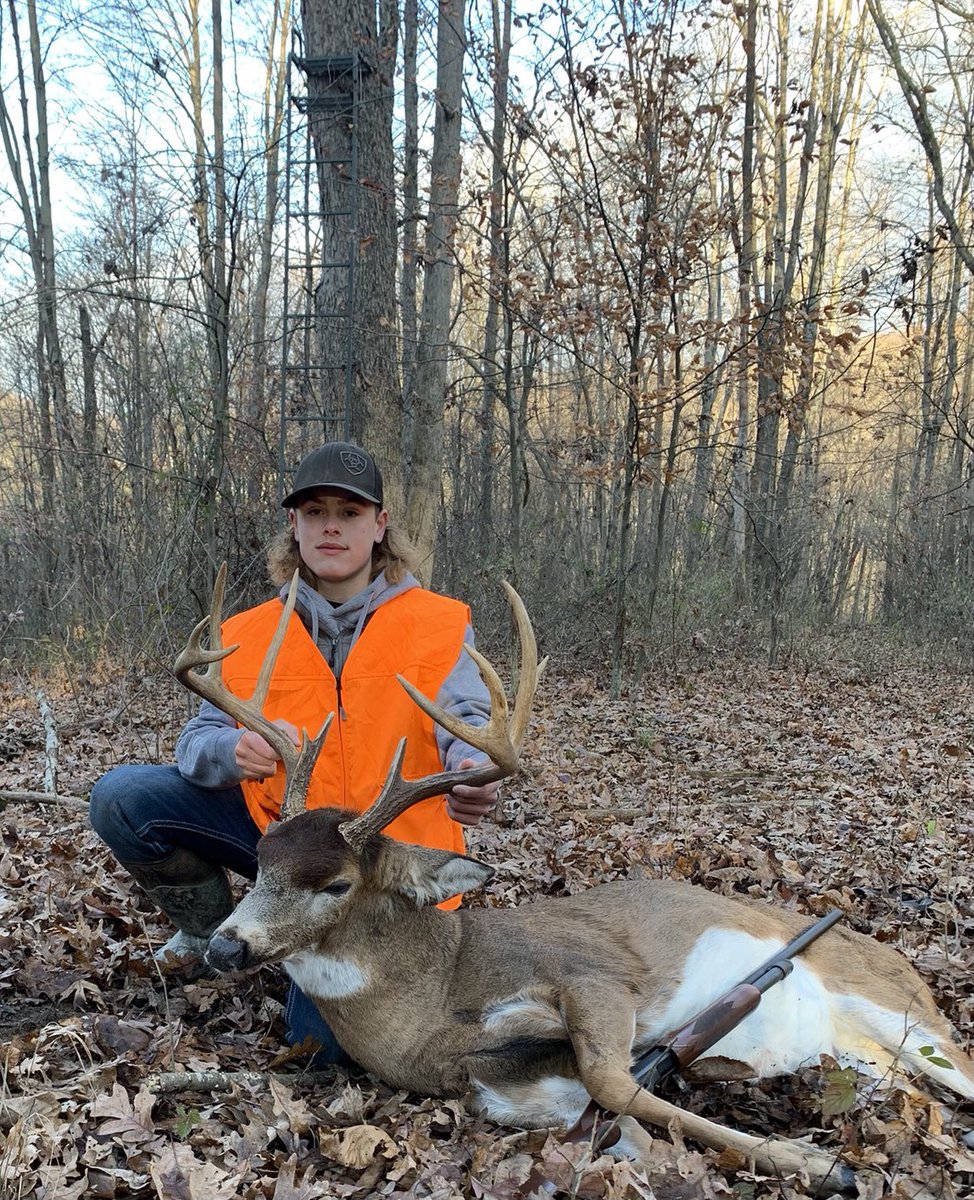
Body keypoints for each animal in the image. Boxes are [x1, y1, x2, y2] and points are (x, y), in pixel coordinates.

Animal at [175, 568, 974, 1194]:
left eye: (336, 884)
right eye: (262, 858)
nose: (226, 945)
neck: (433, 1002)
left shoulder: (593, 976)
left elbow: (614, 1079)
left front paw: (820, 1165)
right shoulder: (511, 1097)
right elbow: (617, 1114)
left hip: (901, 1008)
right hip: (871, 1055)